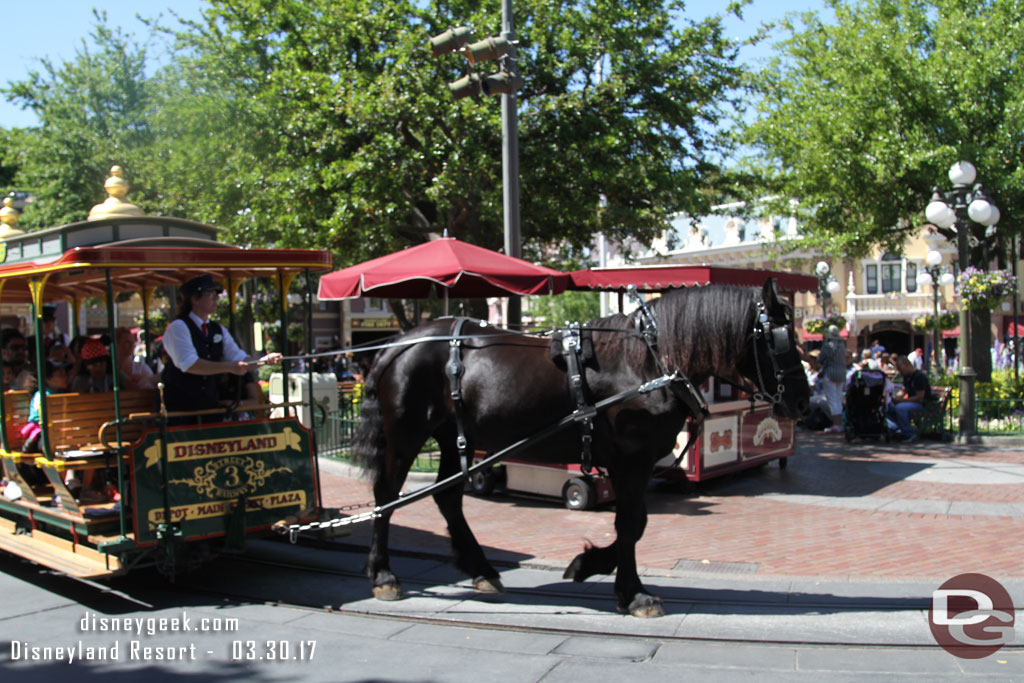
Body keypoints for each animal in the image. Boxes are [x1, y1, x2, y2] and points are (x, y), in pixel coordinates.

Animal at [352, 278, 806, 618]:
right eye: (780, 338)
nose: (802, 401)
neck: (647, 361)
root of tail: (394, 346)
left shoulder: (633, 464)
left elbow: (635, 524)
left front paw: (590, 566)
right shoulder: (632, 460)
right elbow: (632, 524)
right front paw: (632, 593)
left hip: (452, 435)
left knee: (447, 496)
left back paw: (481, 569)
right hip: (406, 435)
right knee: (386, 496)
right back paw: (383, 576)